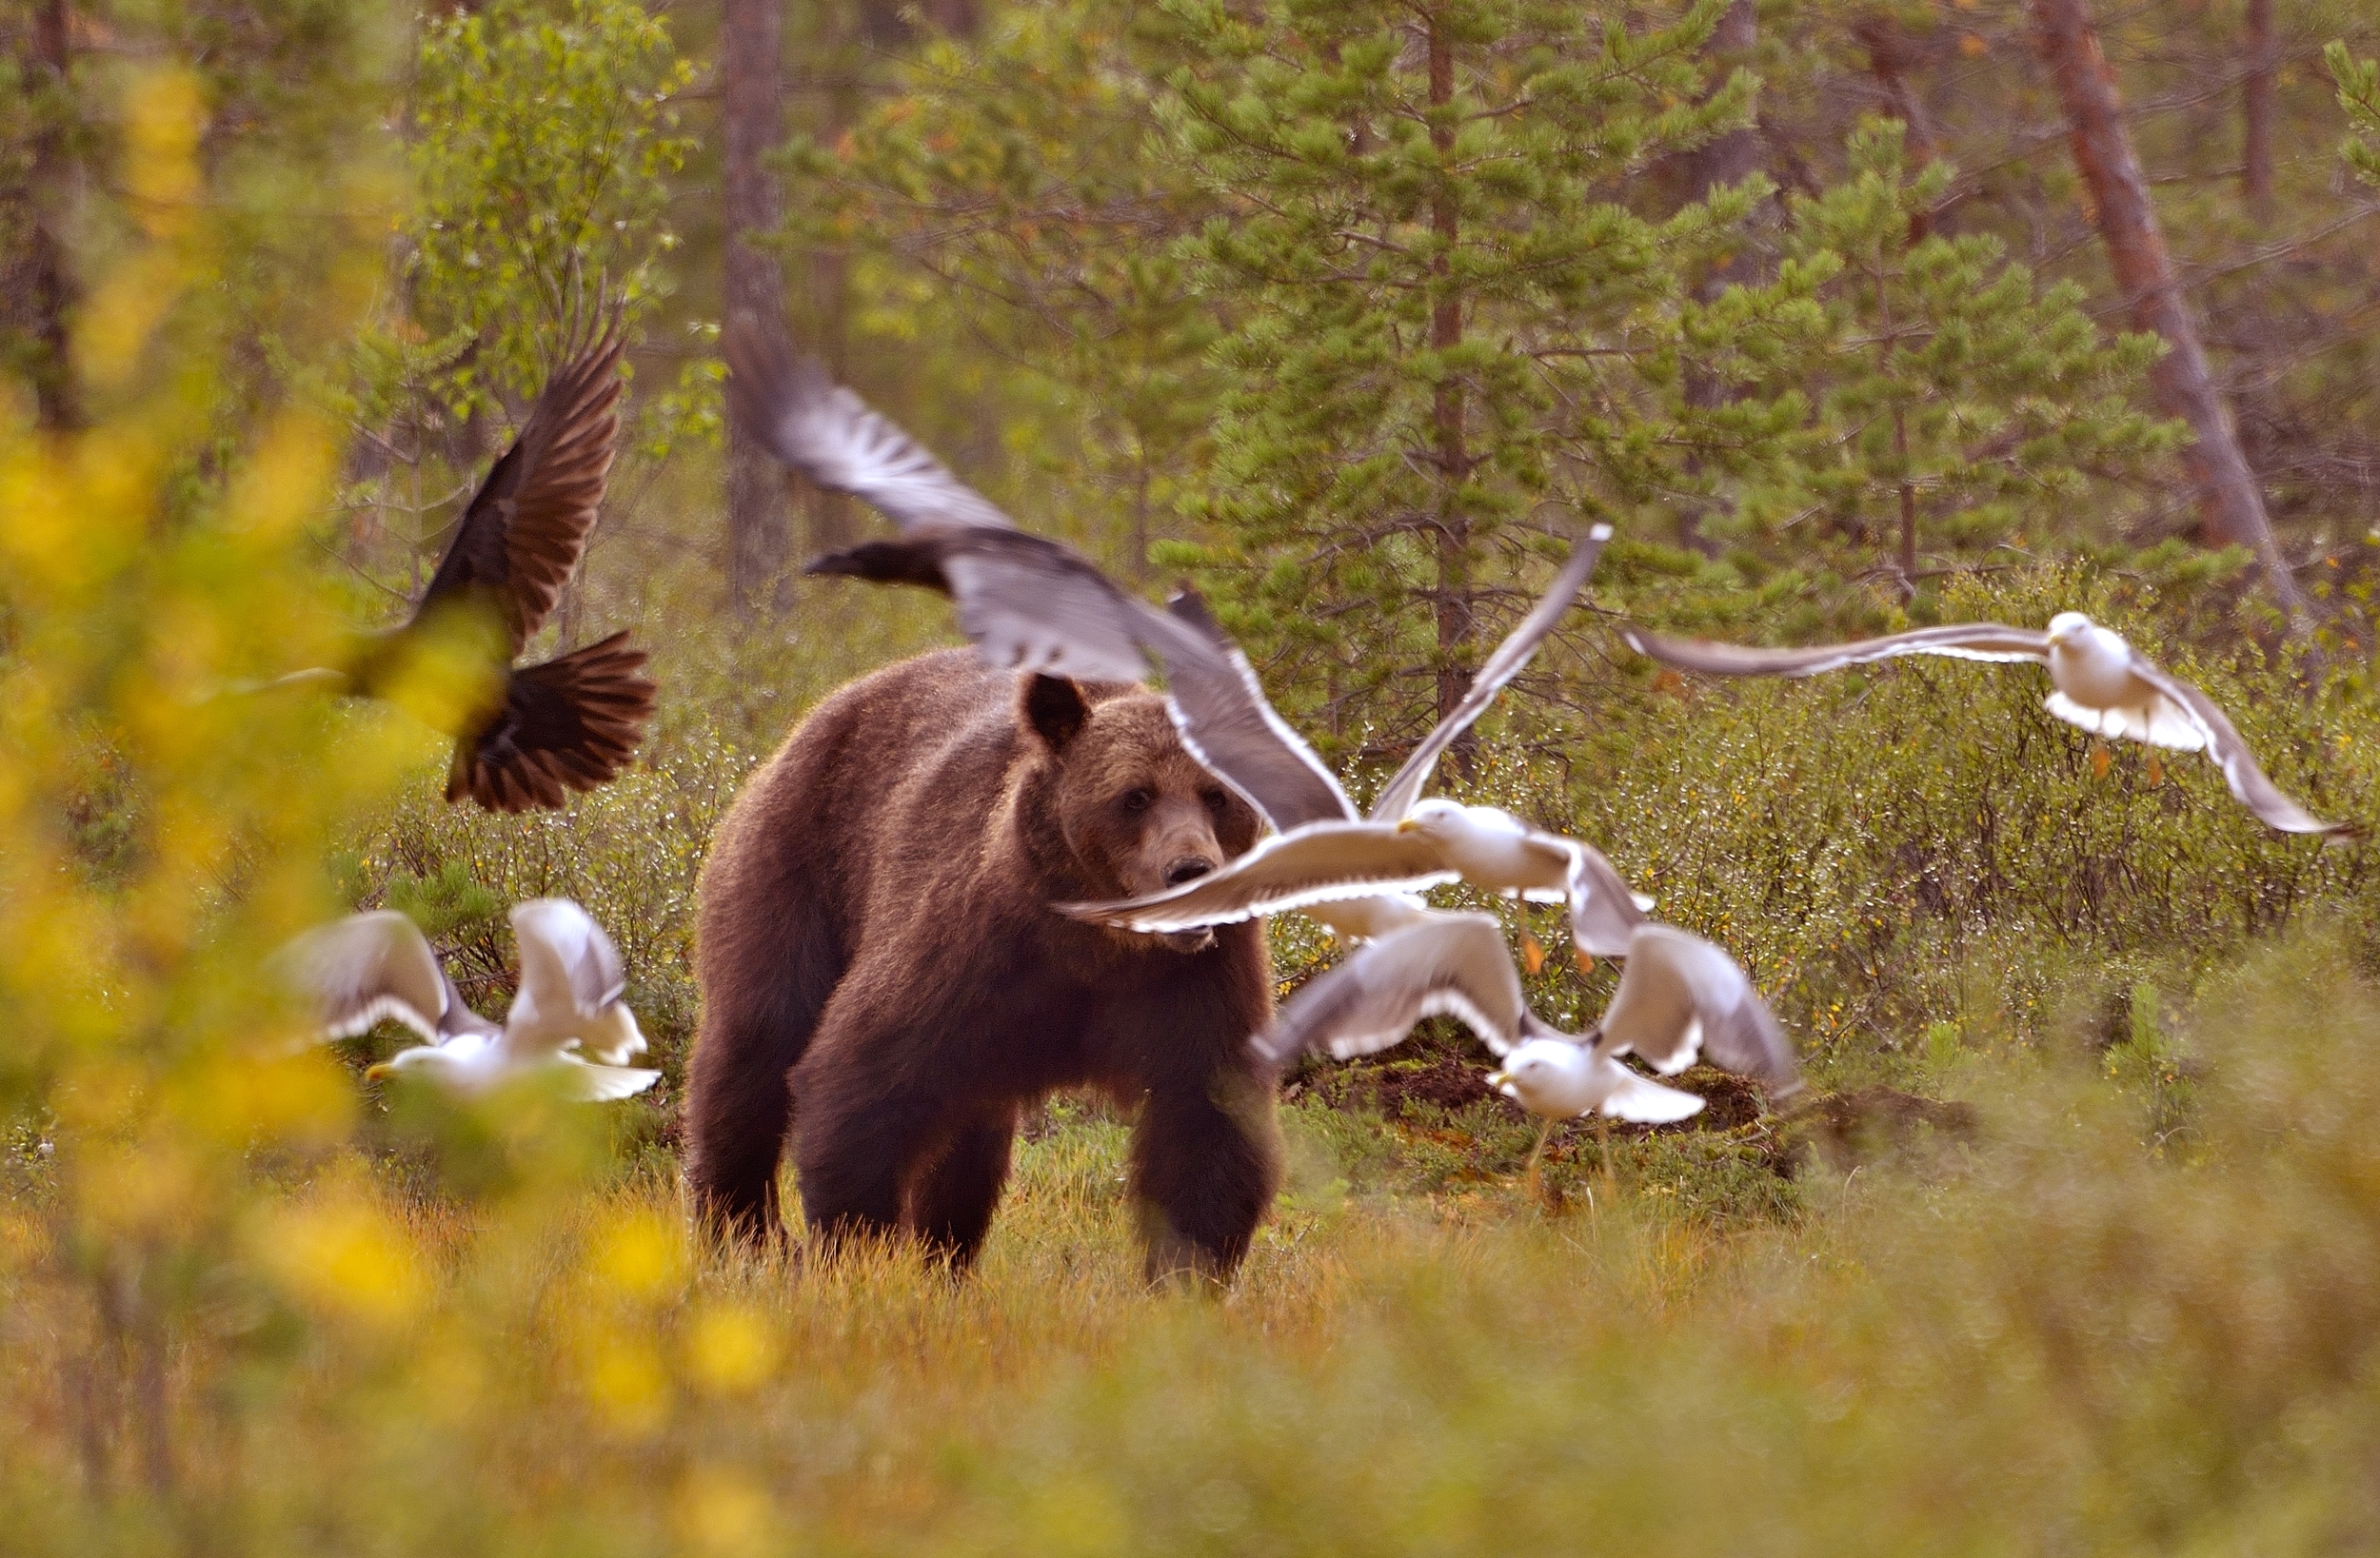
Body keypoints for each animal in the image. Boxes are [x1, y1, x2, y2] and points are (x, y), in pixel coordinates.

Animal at [684, 648, 1283, 1281]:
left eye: (1216, 794)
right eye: (1134, 795)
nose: (1191, 869)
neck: (1095, 947)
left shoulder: (1194, 984)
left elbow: (1206, 1123)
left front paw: (1186, 1276)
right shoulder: (972, 953)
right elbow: (861, 1081)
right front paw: (854, 1253)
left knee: (969, 1145)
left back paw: (945, 1259)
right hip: (796, 868)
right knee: (756, 1046)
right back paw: (741, 1232)